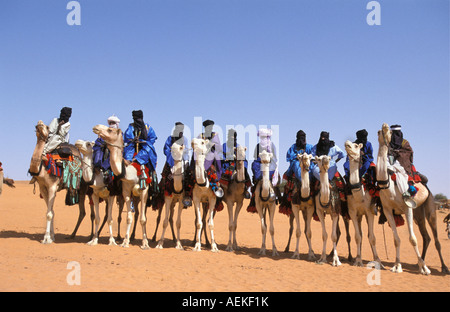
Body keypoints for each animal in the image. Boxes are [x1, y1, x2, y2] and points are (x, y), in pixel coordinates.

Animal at [378, 123, 448, 274]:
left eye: (389, 132)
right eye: (380, 132)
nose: (384, 126)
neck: (388, 186)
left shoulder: (407, 208)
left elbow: (412, 239)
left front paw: (425, 269)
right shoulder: (387, 210)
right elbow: (396, 240)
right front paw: (397, 265)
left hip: (429, 206)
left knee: (435, 238)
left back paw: (443, 267)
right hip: (418, 213)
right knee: (426, 237)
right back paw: (418, 263)